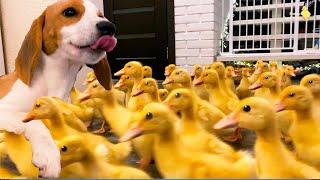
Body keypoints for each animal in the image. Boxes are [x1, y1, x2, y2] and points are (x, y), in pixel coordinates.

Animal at [0, 0, 116, 177]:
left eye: (100, 16)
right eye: (69, 12)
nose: (109, 27)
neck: (53, 83)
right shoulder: (5, 108)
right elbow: (31, 120)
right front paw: (48, 153)